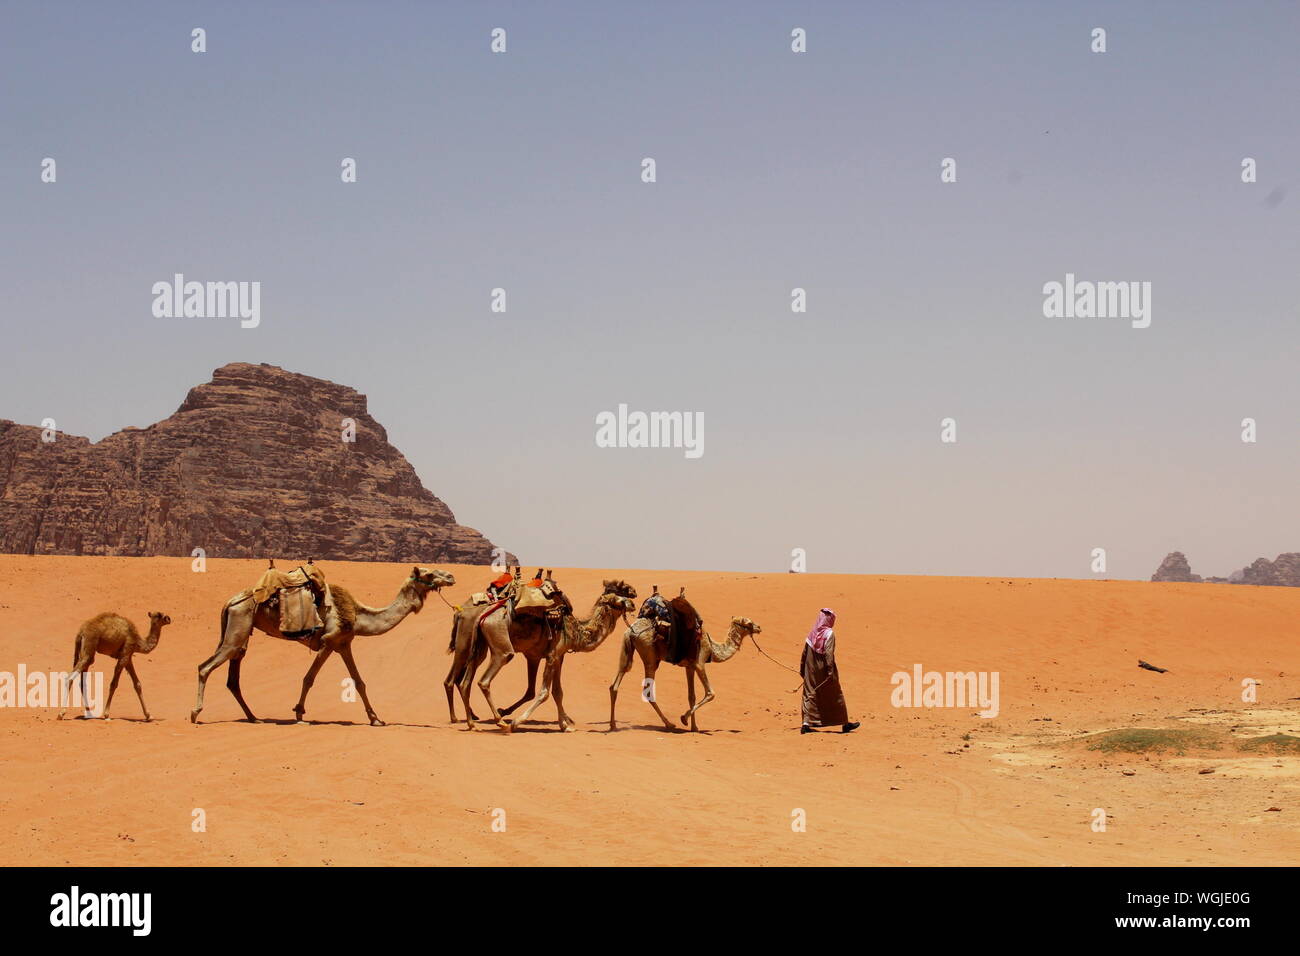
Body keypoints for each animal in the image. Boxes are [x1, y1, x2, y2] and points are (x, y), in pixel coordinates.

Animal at [189, 567, 457, 723]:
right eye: (429, 574)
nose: (451, 576)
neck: (358, 615)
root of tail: (230, 602)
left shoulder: (344, 644)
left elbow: (359, 682)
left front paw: (375, 718)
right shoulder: (328, 642)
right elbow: (309, 678)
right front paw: (299, 713)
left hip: (240, 632)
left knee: (233, 678)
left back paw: (253, 717)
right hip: (238, 627)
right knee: (205, 667)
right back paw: (195, 713)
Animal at [449, 582, 637, 733]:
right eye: (619, 600)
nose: (633, 603)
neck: (575, 631)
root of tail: (484, 616)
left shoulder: (557, 656)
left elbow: (557, 692)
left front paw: (565, 725)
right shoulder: (552, 656)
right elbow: (544, 692)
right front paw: (517, 722)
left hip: (479, 646)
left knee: (465, 682)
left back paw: (472, 724)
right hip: (501, 646)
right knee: (484, 681)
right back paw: (501, 722)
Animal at [608, 613, 759, 733]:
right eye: (749, 623)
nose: (759, 627)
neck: (713, 647)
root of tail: (630, 631)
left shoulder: (689, 667)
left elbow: (691, 696)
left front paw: (694, 727)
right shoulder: (699, 663)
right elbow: (710, 693)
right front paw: (684, 719)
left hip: (630, 650)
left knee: (616, 682)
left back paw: (613, 725)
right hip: (650, 656)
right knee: (648, 691)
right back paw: (669, 724)